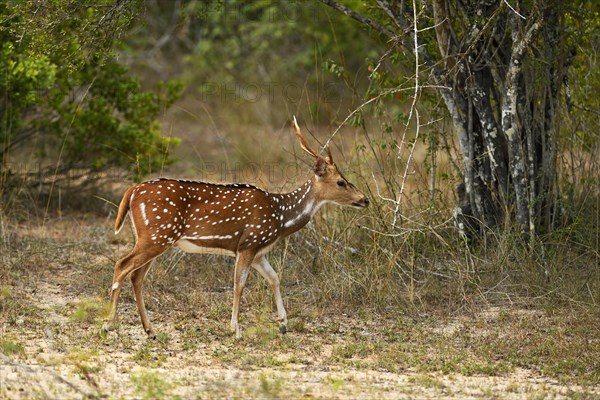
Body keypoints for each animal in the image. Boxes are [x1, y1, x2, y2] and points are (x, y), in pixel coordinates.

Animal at [101, 117, 368, 340]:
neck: (280, 217)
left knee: (136, 276)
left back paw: (150, 330)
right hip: (157, 234)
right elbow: (239, 285)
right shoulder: (248, 243)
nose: (365, 199)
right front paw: (236, 330)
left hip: (155, 237)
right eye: (341, 182)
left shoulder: (258, 251)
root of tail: (132, 191)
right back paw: (107, 325)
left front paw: (283, 324)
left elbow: (275, 278)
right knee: (122, 265)